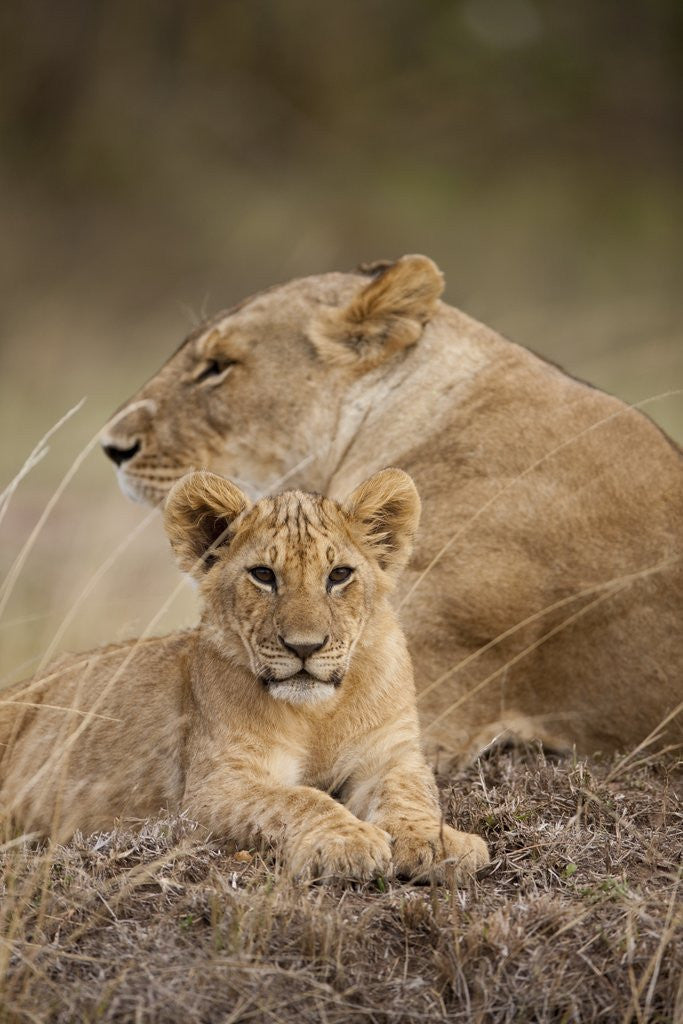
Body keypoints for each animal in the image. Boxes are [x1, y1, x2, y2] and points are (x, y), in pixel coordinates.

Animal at [0, 468, 488, 881]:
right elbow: (298, 799)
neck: (318, 715)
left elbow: (411, 793)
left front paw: (435, 842)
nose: (304, 647)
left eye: (339, 575)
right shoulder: (210, 791)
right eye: (263, 575)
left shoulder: (391, 754)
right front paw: (348, 841)